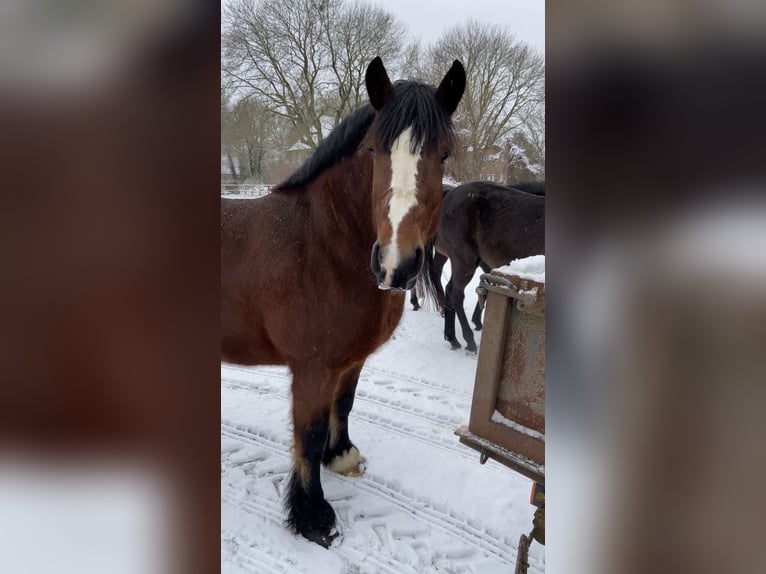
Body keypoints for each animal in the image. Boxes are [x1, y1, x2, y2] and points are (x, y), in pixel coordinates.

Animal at [221, 57, 465, 547]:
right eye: (373, 152)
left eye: (444, 155)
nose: (395, 264)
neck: (320, 245)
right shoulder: (312, 368)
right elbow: (309, 433)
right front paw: (312, 515)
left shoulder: (350, 361)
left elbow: (344, 406)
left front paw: (342, 456)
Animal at [418, 180, 544, 352]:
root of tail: (449, 194)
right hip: (464, 260)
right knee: (455, 294)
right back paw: (469, 340)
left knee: (449, 290)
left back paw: (452, 337)